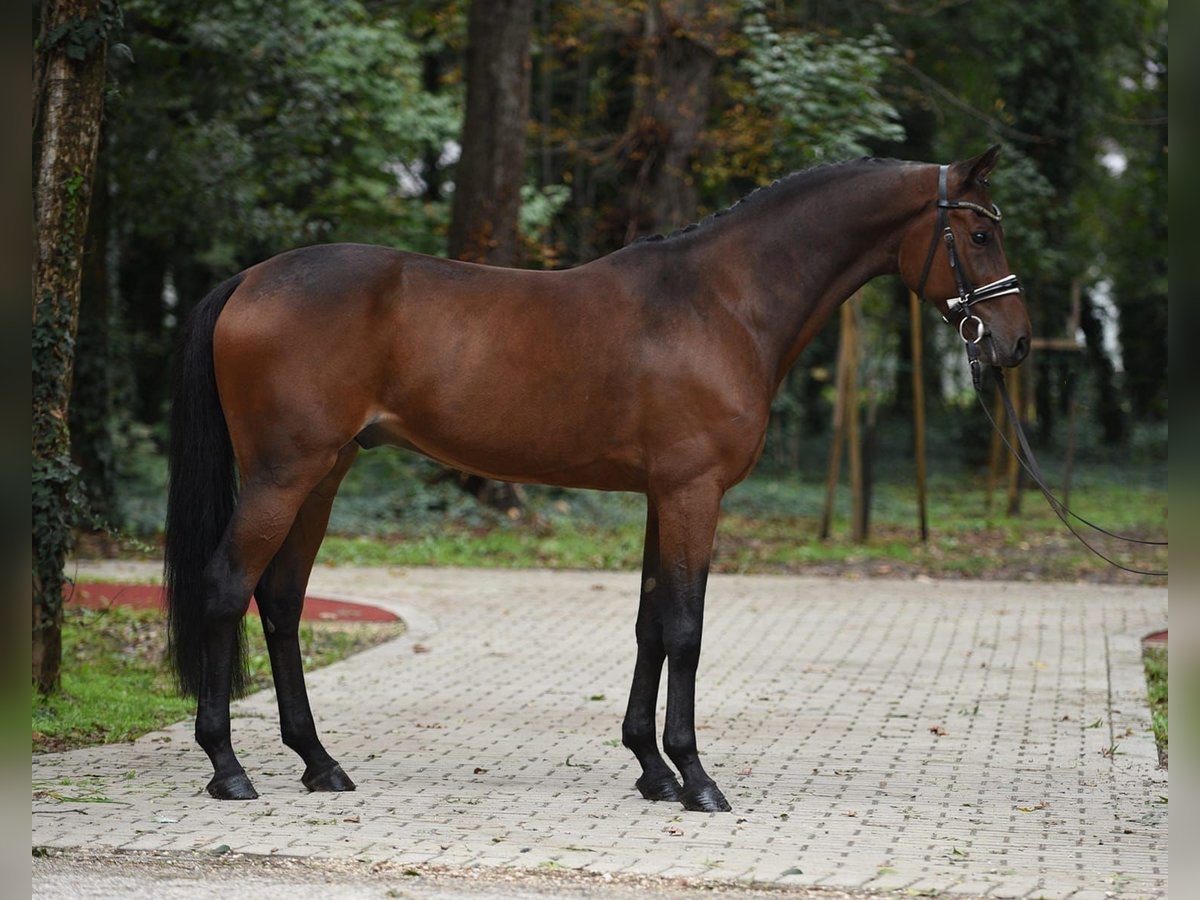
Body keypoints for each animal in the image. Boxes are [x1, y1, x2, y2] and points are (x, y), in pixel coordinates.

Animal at [166, 146, 1032, 811]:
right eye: (979, 232)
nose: (1016, 343)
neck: (722, 301)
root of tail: (250, 279)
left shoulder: (661, 496)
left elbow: (650, 622)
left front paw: (651, 769)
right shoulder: (693, 493)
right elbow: (686, 626)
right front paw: (696, 778)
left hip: (324, 473)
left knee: (281, 599)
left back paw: (319, 763)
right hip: (284, 474)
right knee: (225, 586)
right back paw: (227, 768)